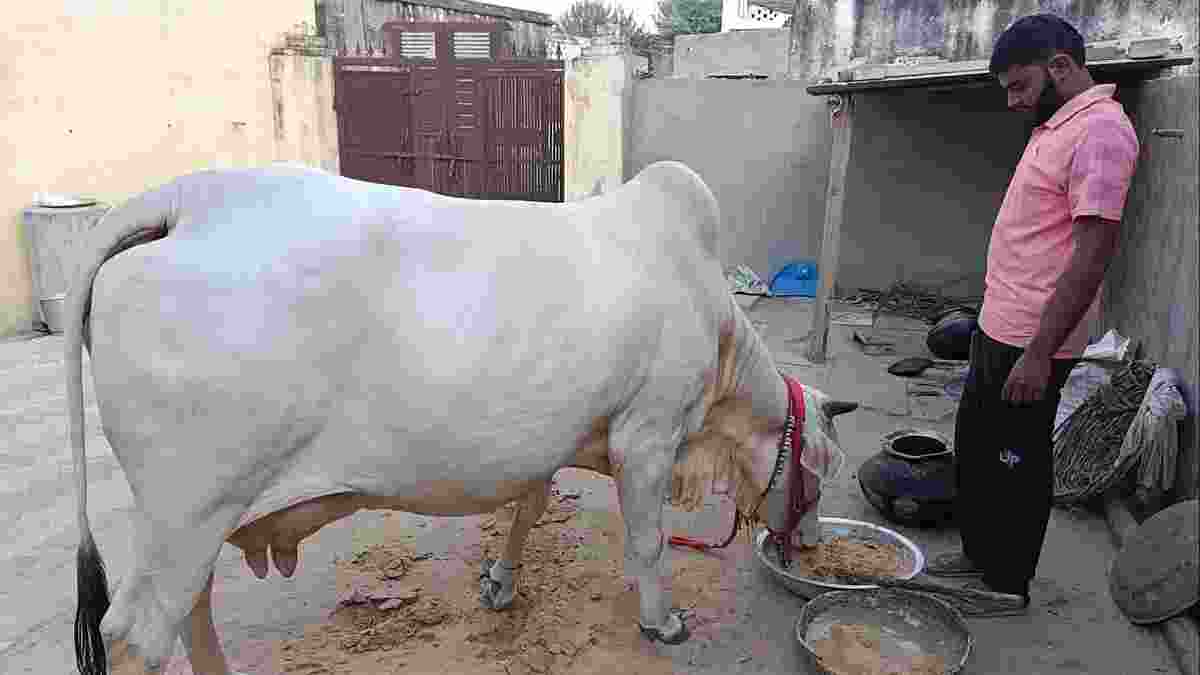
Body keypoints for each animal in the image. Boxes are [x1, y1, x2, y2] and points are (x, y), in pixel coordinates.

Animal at [65, 161, 857, 675]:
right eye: (817, 476)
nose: (812, 546)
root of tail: (181, 199)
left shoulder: (558, 437)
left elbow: (529, 509)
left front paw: (500, 583)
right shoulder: (648, 435)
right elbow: (650, 542)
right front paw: (660, 622)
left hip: (190, 524)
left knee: (188, 616)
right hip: (190, 510)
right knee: (134, 635)